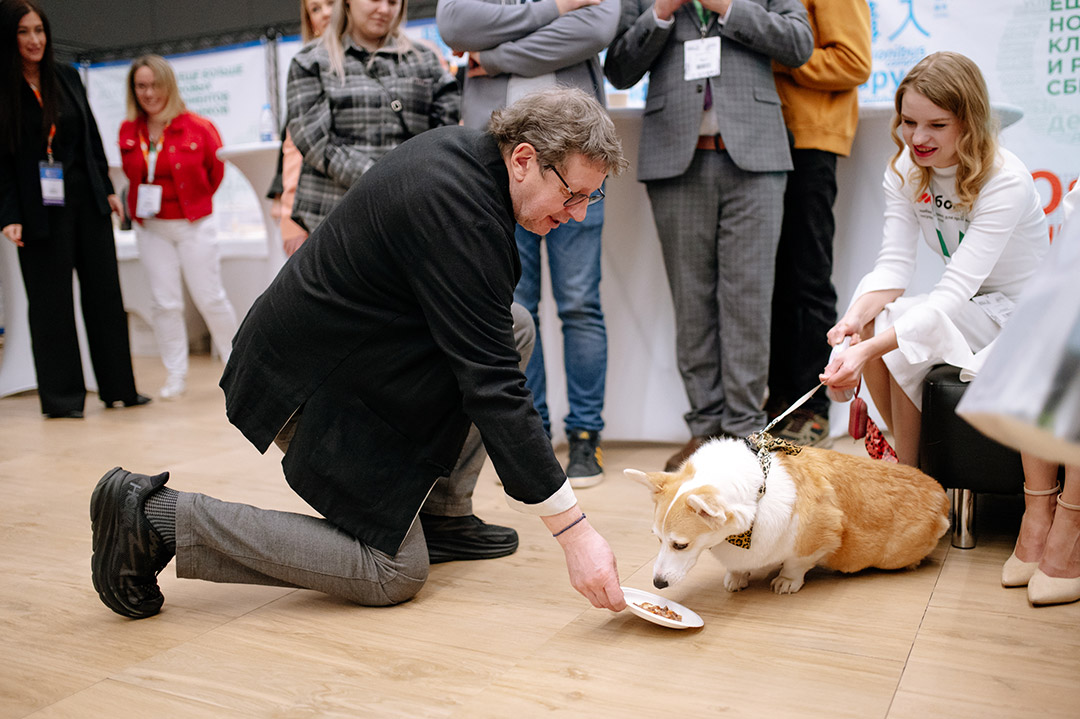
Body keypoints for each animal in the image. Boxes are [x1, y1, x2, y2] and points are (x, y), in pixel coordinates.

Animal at [626, 437, 950, 594]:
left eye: (680, 545)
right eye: (657, 540)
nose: (657, 585)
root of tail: (942, 496)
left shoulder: (818, 535)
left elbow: (797, 563)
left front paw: (785, 581)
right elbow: (738, 567)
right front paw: (737, 577)